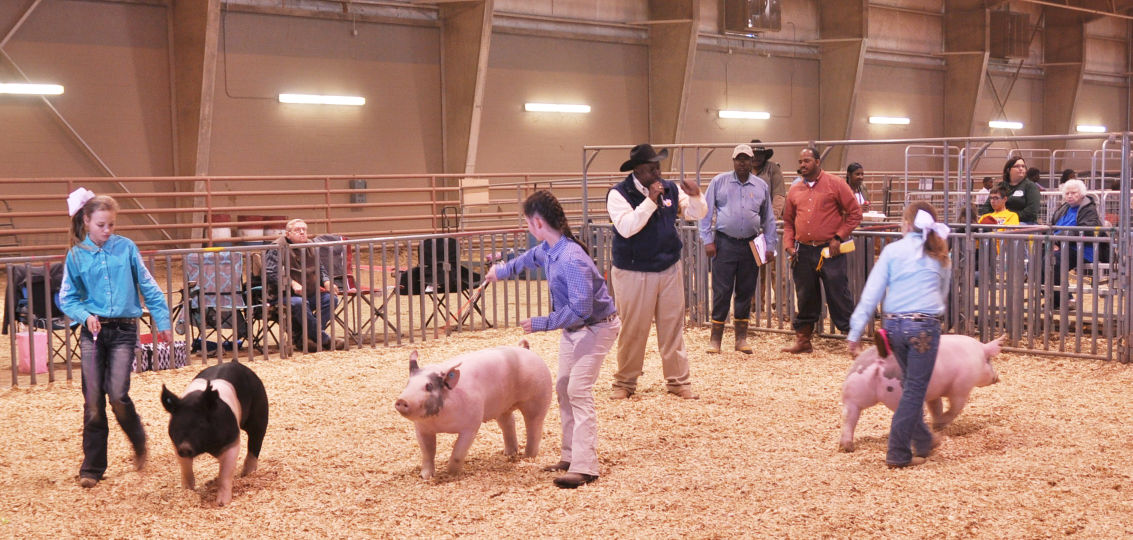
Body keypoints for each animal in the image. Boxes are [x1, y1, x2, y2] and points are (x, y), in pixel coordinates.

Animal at [160, 360, 268, 502]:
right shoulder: (176, 444)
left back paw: (246, 474)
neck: (207, 446)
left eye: (201, 423)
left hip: (260, 410)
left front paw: (222, 503)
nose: (184, 448)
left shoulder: (232, 441)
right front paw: (187, 492)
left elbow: (225, 474)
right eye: (176, 424)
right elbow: (186, 470)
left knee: (256, 440)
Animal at [392, 341, 550, 479]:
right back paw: (509, 454)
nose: (402, 401)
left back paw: (528, 456)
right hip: (502, 406)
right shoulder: (422, 428)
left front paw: (451, 474)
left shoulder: (471, 425)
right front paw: (425, 476)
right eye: (408, 383)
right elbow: (427, 452)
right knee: (508, 422)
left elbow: (458, 452)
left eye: (429, 386)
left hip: (538, 398)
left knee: (535, 426)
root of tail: (525, 350)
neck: (440, 422)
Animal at [833, 332, 1001, 450]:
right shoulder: (961, 387)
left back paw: (846, 447)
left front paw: (937, 424)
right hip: (898, 394)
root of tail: (879, 363)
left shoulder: (934, 393)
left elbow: (936, 406)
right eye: (989, 360)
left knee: (849, 415)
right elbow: (955, 407)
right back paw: (935, 442)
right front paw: (940, 423)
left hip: (853, 389)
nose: (997, 377)